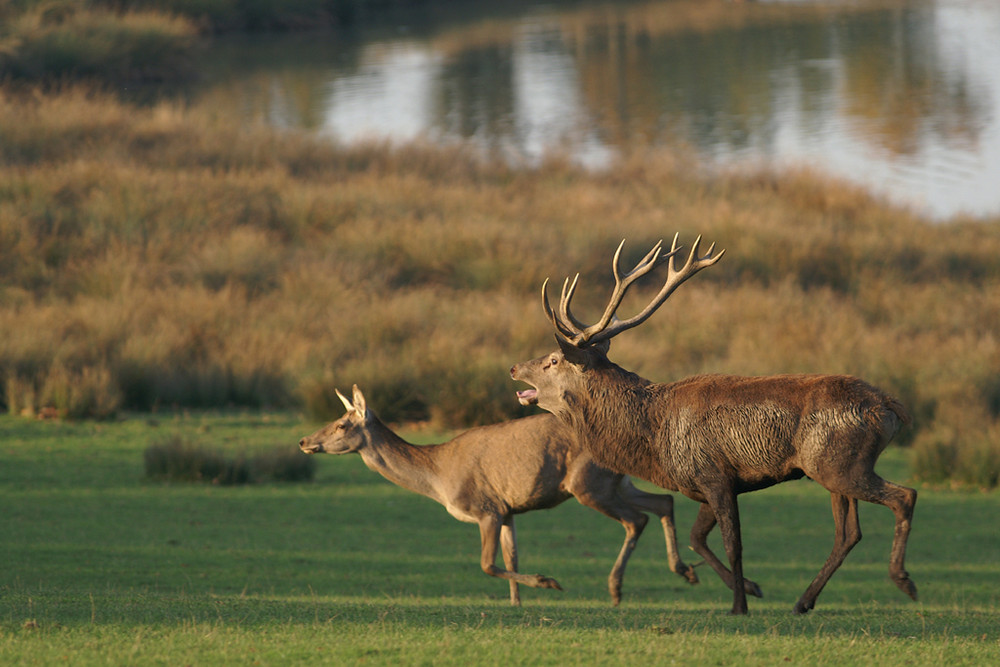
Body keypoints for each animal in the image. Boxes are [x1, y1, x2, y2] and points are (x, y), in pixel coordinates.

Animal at [300, 384, 700, 608]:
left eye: (342, 424)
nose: (305, 441)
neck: (439, 476)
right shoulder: (508, 511)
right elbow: (512, 557)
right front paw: (516, 604)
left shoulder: (486, 508)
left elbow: (487, 564)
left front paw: (547, 582)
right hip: (616, 482)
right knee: (663, 502)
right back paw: (684, 571)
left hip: (588, 483)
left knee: (637, 519)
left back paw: (616, 590)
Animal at [512, 236, 916, 616]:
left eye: (553, 360)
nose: (515, 367)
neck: (655, 437)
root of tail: (891, 407)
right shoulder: (705, 483)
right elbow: (697, 539)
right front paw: (749, 587)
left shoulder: (714, 474)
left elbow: (732, 543)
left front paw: (739, 604)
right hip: (831, 470)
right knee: (848, 534)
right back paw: (803, 601)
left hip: (840, 464)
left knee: (904, 496)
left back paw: (903, 580)